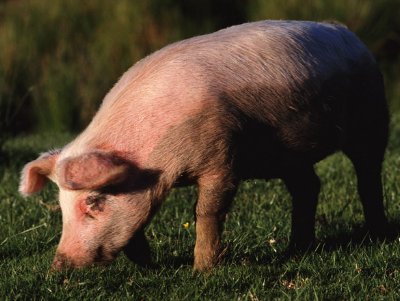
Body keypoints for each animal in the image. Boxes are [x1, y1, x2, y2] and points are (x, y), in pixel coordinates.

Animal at [18, 19, 388, 270]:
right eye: (61, 206)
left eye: (94, 203)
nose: (58, 266)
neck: (156, 164)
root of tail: (348, 33)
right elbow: (137, 222)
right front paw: (148, 265)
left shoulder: (221, 156)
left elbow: (206, 210)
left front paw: (202, 271)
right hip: (287, 153)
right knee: (309, 186)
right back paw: (295, 251)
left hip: (372, 116)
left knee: (368, 175)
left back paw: (377, 236)